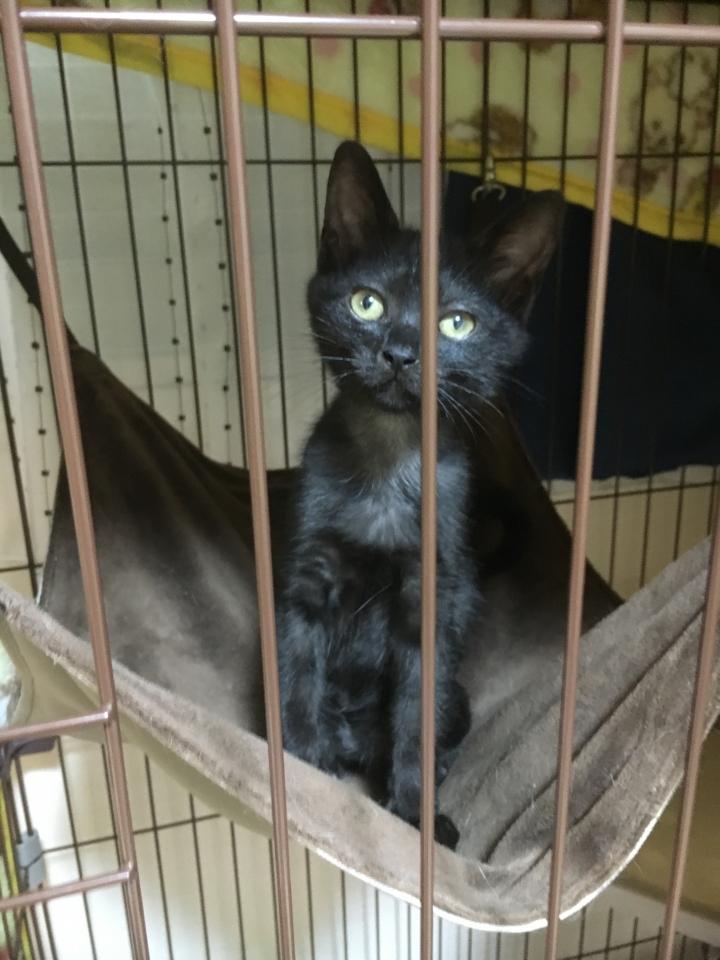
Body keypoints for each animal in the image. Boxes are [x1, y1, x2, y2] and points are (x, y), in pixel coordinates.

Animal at [277, 141, 562, 849]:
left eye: (457, 323)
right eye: (367, 304)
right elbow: (299, 686)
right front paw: (303, 776)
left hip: (459, 693)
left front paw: (415, 814)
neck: (387, 463)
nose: (402, 353)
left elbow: (414, 717)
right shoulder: (304, 581)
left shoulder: (428, 599)